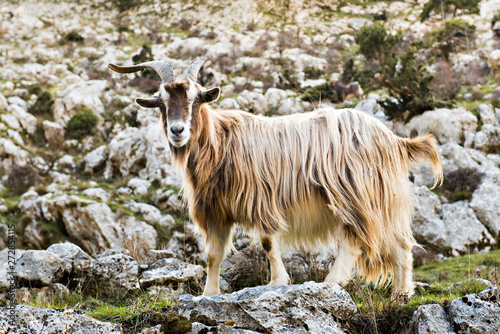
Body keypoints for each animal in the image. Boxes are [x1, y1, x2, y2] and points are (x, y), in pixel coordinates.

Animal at [108, 59, 442, 294]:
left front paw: (277, 282)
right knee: (401, 246)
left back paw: (332, 282)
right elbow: (213, 255)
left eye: (197, 99)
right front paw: (208, 294)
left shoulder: (261, 200)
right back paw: (401, 294)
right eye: (162, 103)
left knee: (353, 239)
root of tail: (393, 139)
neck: (221, 143)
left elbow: (268, 243)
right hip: (383, 200)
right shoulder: (217, 212)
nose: (177, 131)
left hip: (354, 193)